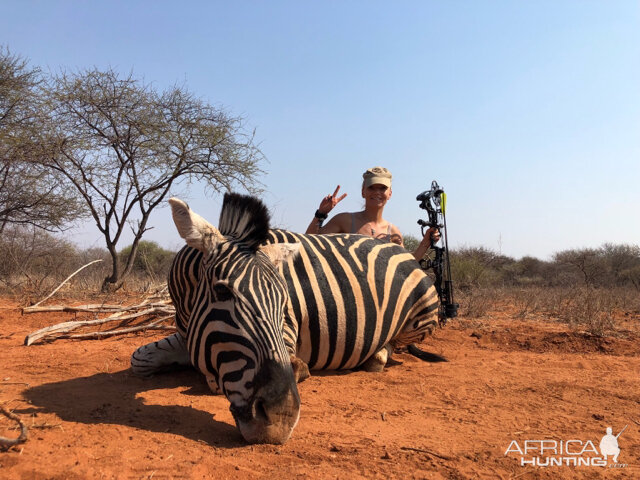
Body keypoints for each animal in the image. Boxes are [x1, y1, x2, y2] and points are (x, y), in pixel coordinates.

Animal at [131, 191, 440, 442]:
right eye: (221, 291)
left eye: (284, 301)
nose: (280, 421)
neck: (186, 302)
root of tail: (401, 248)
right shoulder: (189, 333)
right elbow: (139, 359)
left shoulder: (288, 329)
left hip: (423, 312)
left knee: (394, 344)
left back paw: (376, 356)